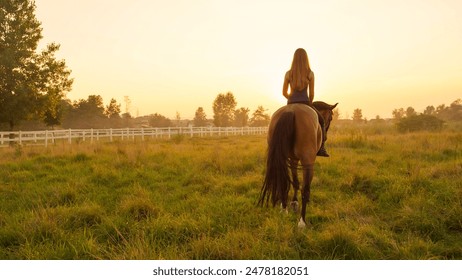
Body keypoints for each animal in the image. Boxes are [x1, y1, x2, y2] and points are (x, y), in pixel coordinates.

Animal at [258, 101, 338, 229]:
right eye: (330, 117)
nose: (325, 136)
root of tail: (290, 111)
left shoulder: (293, 159)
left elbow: (295, 181)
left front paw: (294, 202)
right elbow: (305, 186)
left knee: (282, 181)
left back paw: (284, 209)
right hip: (307, 160)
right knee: (305, 189)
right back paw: (302, 222)